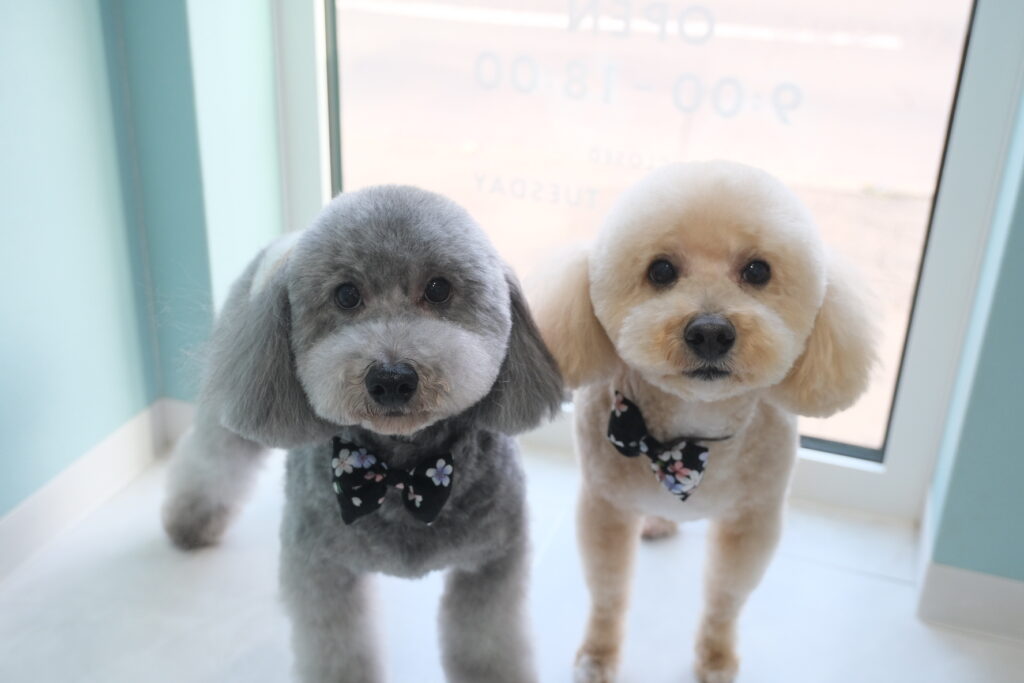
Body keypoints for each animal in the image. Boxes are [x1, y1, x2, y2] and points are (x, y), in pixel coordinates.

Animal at [161, 185, 563, 683]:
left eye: (439, 289)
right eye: (347, 295)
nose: (391, 378)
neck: (400, 474)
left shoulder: (492, 564)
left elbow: (486, 644)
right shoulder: (323, 571)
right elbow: (340, 651)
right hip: (235, 396)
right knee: (212, 462)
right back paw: (190, 523)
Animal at [530, 161, 875, 683]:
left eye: (757, 270)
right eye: (661, 270)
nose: (710, 331)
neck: (687, 438)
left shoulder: (752, 521)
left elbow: (725, 599)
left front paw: (715, 658)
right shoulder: (604, 508)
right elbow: (609, 593)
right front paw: (598, 655)